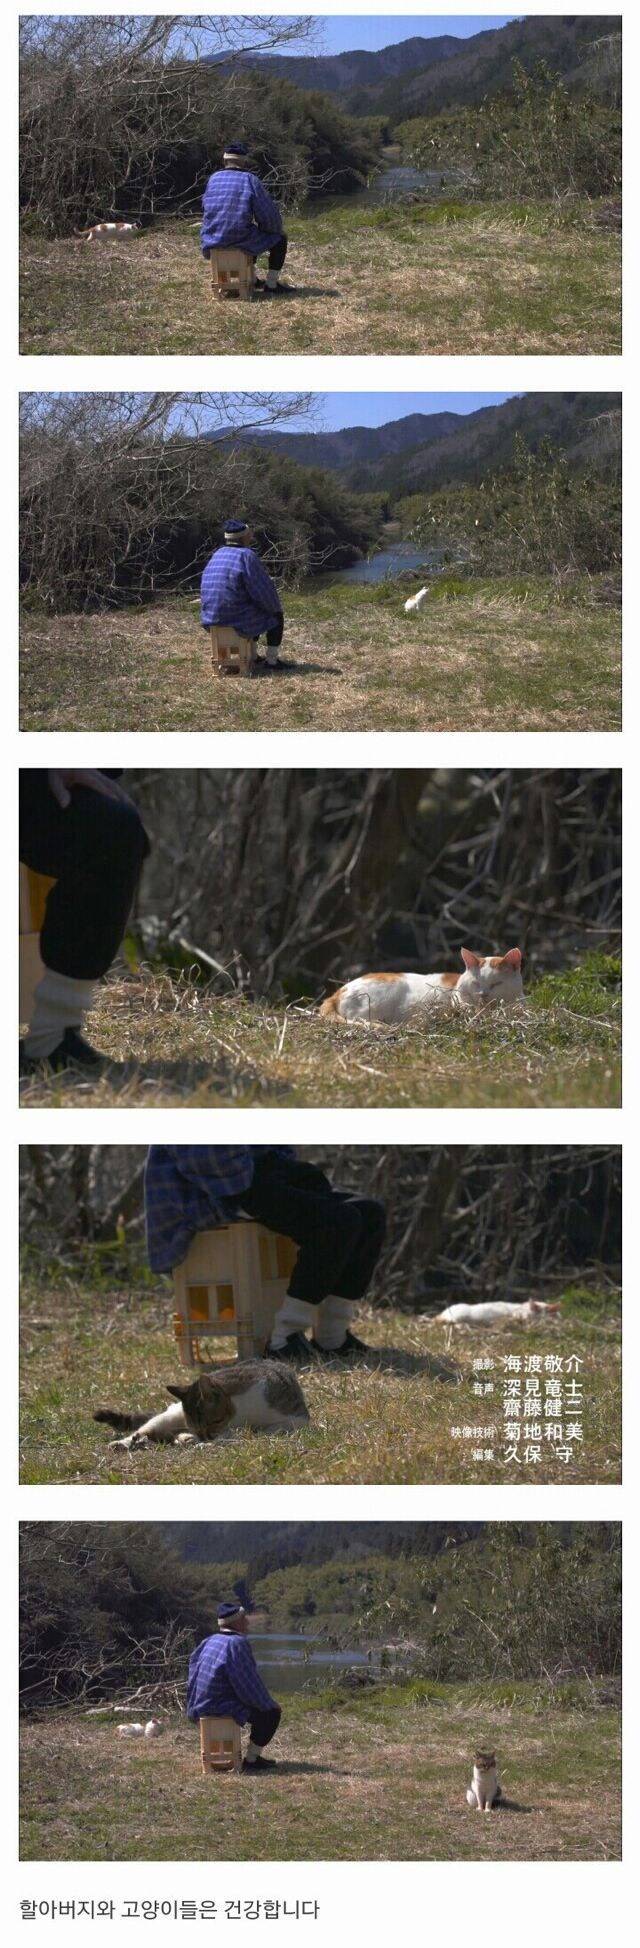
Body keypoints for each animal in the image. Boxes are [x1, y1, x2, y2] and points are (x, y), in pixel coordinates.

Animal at [93, 1363, 309, 1457]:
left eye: (214, 1421)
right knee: (143, 1431)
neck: (240, 1413)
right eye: (198, 1427)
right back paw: (124, 1443)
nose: (205, 1437)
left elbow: (264, 1431)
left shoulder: (297, 1418)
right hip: (169, 1416)